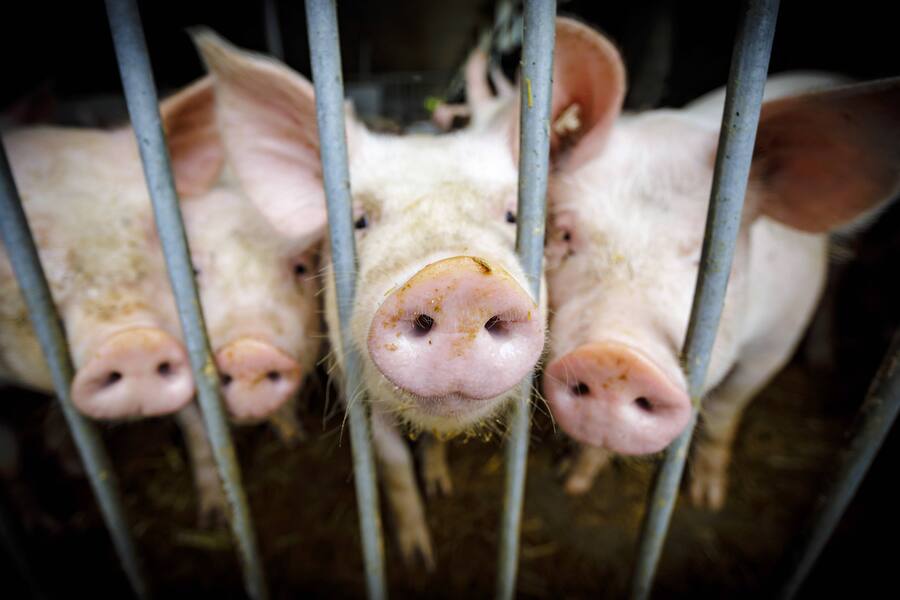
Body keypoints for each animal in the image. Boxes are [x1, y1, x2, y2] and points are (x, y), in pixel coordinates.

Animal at [193, 31, 551, 566]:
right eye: (359, 219)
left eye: (512, 213)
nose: (459, 278)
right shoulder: (350, 382)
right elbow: (393, 461)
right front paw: (418, 557)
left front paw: (441, 487)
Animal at [534, 19, 900, 506]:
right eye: (564, 234)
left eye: (707, 255)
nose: (615, 357)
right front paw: (573, 481)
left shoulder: (775, 343)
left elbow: (727, 410)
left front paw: (708, 499)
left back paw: (824, 361)